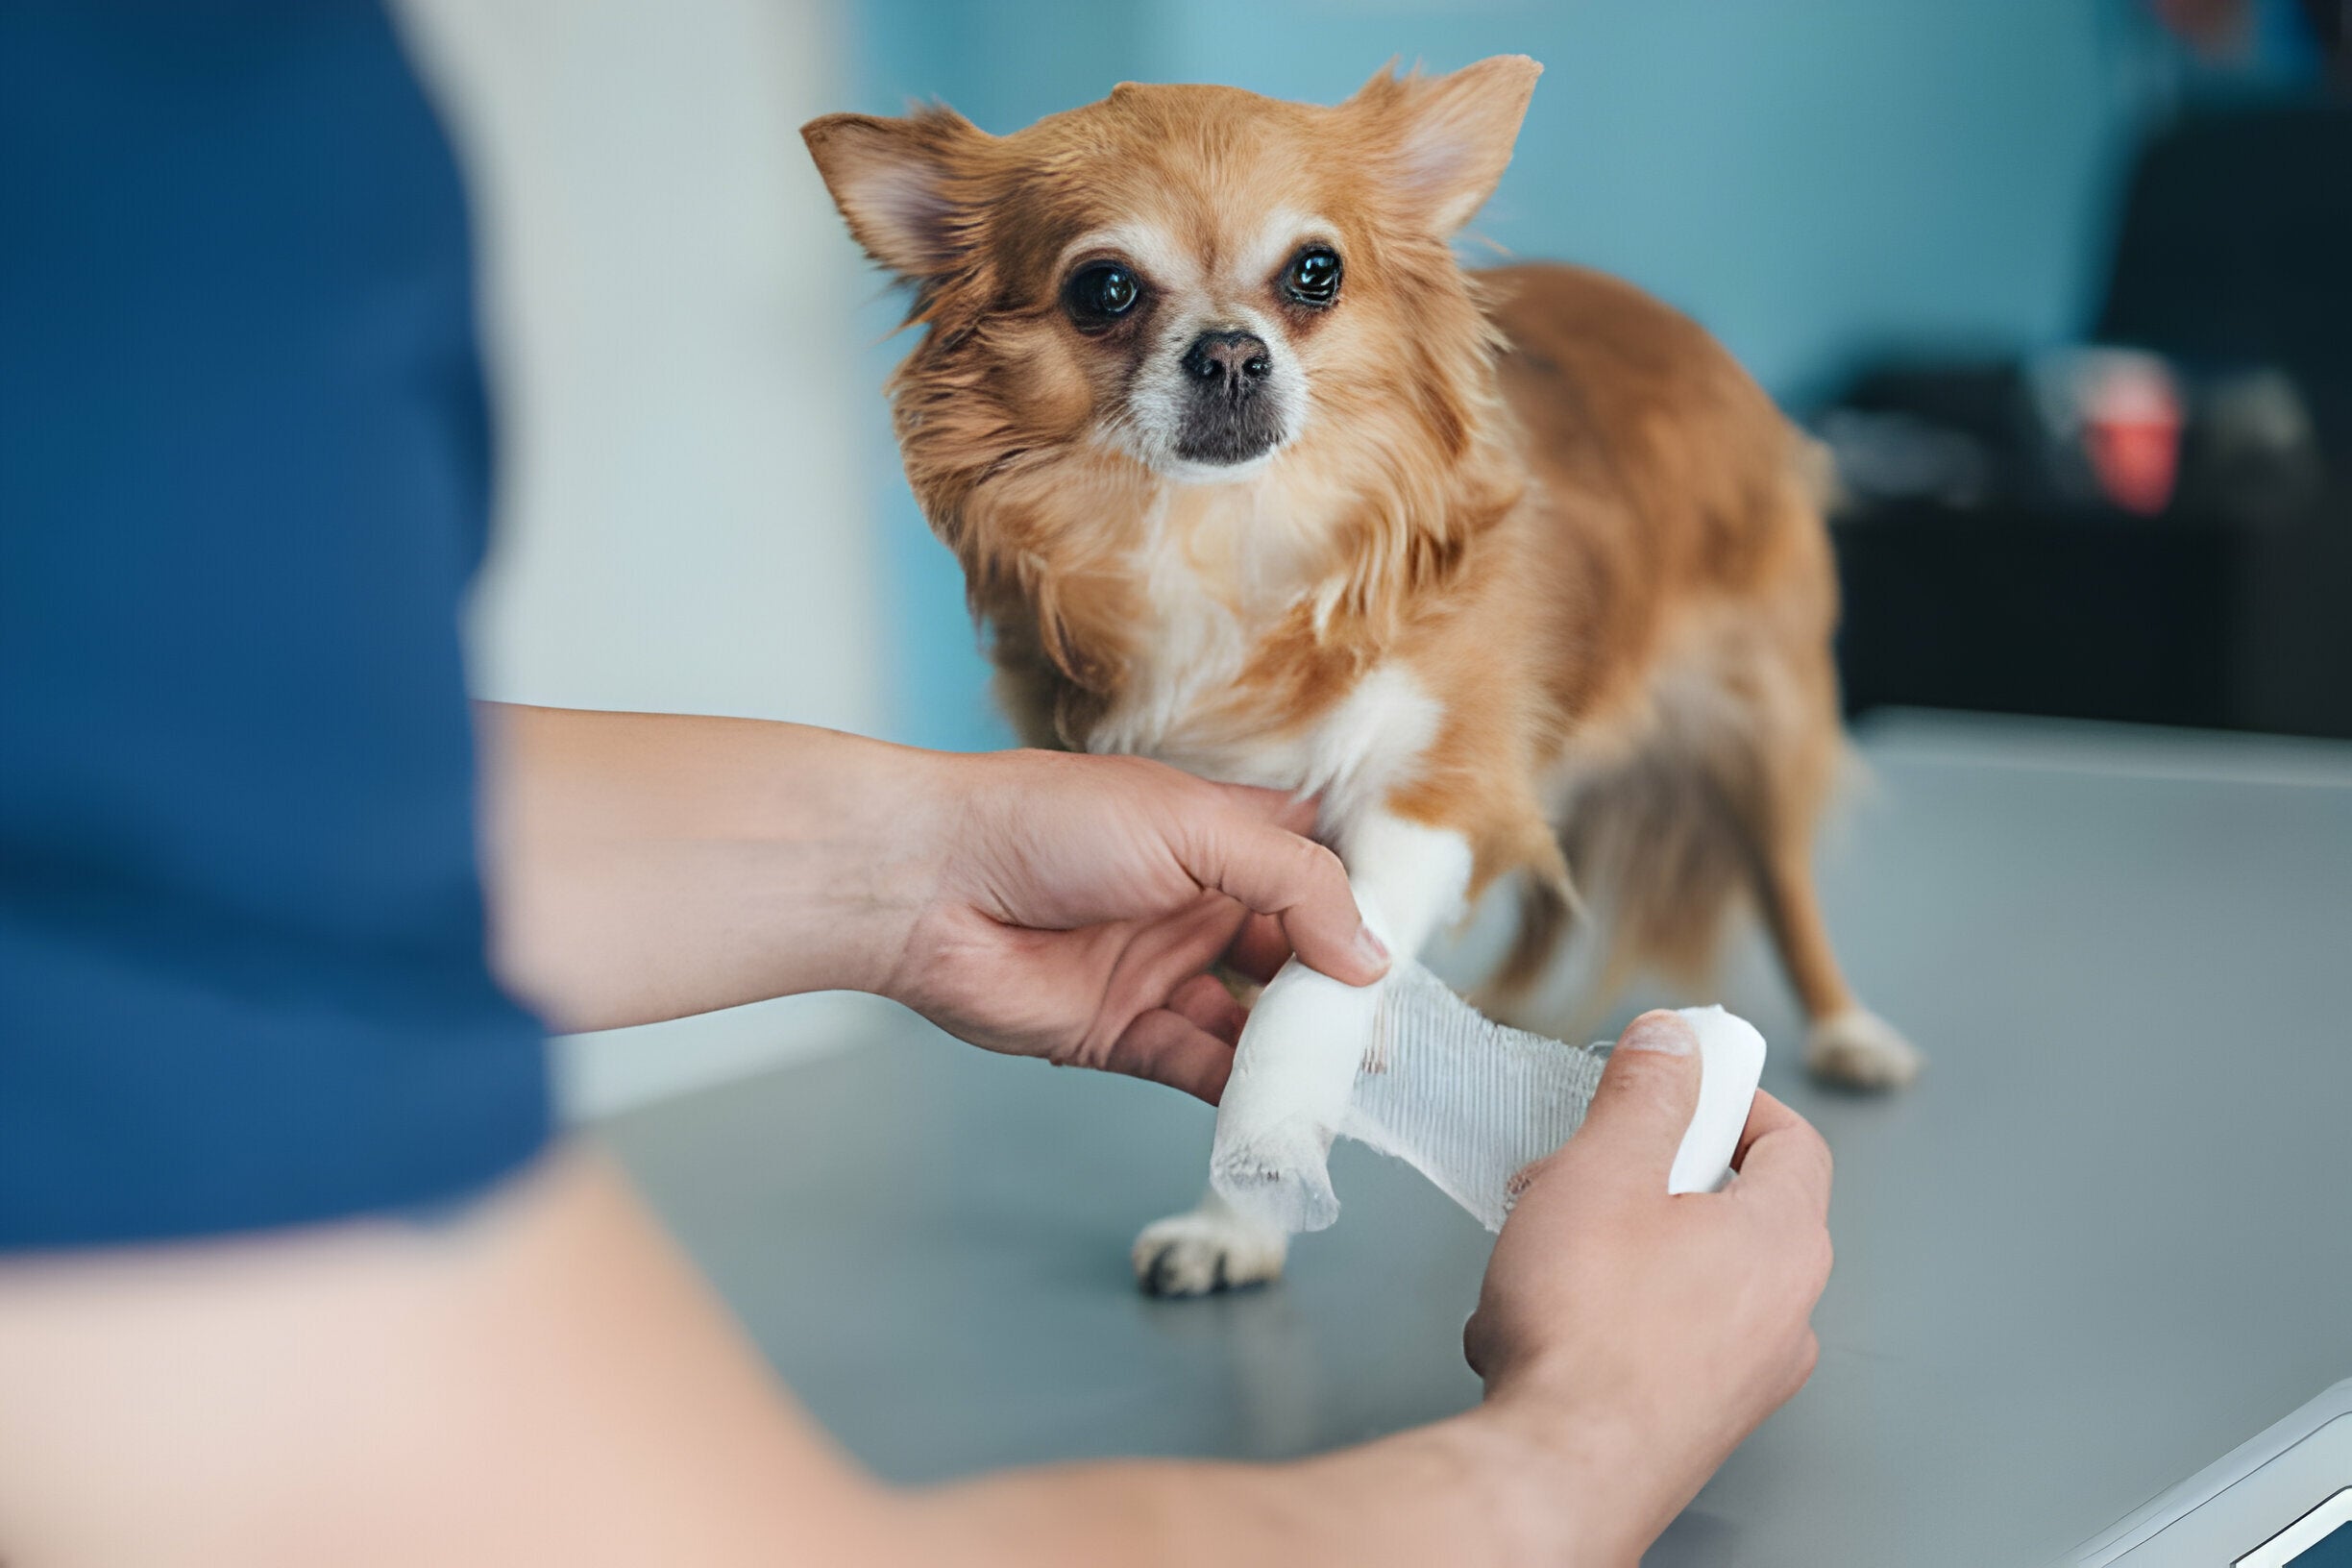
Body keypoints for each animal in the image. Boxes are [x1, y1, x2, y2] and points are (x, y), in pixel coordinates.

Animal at [804, 55, 1909, 1297]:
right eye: (1104, 289)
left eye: (1315, 273)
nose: (1231, 352)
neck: (1222, 540)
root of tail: (1665, 316)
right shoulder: (1221, 827)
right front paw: (1244, 1216)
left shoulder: (1433, 784)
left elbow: (1317, 981)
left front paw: (1277, 1152)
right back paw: (1503, 1001)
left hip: (1754, 719)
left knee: (1781, 879)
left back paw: (1847, 1031)